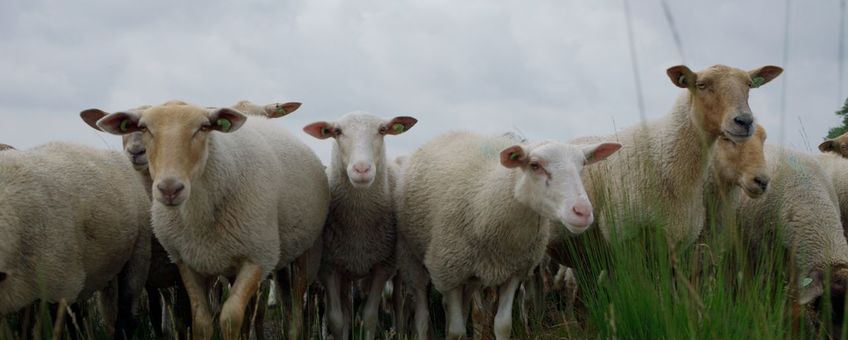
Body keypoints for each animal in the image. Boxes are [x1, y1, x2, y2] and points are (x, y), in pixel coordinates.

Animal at [88, 101, 330, 340]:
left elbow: (230, 319)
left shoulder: (257, 258)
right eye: (144, 128)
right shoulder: (186, 262)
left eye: (203, 127)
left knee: (294, 304)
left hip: (302, 254)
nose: (170, 189)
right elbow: (201, 322)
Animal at [304, 111, 420, 338]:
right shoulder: (329, 266)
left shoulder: (383, 266)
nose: (362, 169)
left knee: (397, 302)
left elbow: (369, 317)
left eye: (382, 130)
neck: (359, 223)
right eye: (337, 131)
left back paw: (400, 330)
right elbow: (337, 319)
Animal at [394, 131, 620, 340]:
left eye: (583, 165)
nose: (583, 212)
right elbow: (456, 332)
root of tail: (448, 133)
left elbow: (503, 325)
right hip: (414, 260)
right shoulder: (447, 272)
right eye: (535, 165)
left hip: (472, 273)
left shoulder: (513, 271)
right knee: (424, 310)